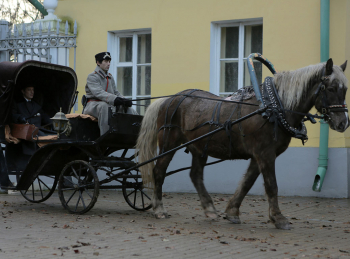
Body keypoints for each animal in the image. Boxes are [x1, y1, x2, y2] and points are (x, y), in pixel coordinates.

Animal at [135, 58, 348, 230]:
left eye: (345, 89)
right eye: (330, 88)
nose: (343, 123)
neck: (273, 108)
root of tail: (168, 99)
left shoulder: (259, 156)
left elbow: (247, 182)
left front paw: (232, 212)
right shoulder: (265, 154)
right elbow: (272, 185)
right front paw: (278, 218)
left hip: (199, 148)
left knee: (195, 175)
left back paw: (209, 208)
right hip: (168, 143)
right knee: (159, 171)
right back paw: (159, 209)